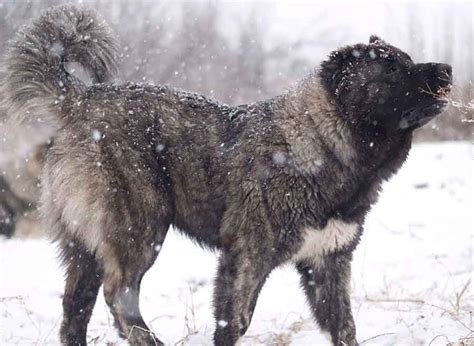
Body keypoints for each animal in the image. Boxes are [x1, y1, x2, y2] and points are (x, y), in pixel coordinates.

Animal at [0, 5, 452, 346]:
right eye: (391, 70)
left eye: (407, 60)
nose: (447, 69)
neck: (323, 143)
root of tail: (80, 100)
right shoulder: (247, 257)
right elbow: (234, 322)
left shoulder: (328, 265)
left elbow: (344, 327)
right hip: (139, 229)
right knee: (118, 297)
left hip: (85, 247)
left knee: (75, 308)